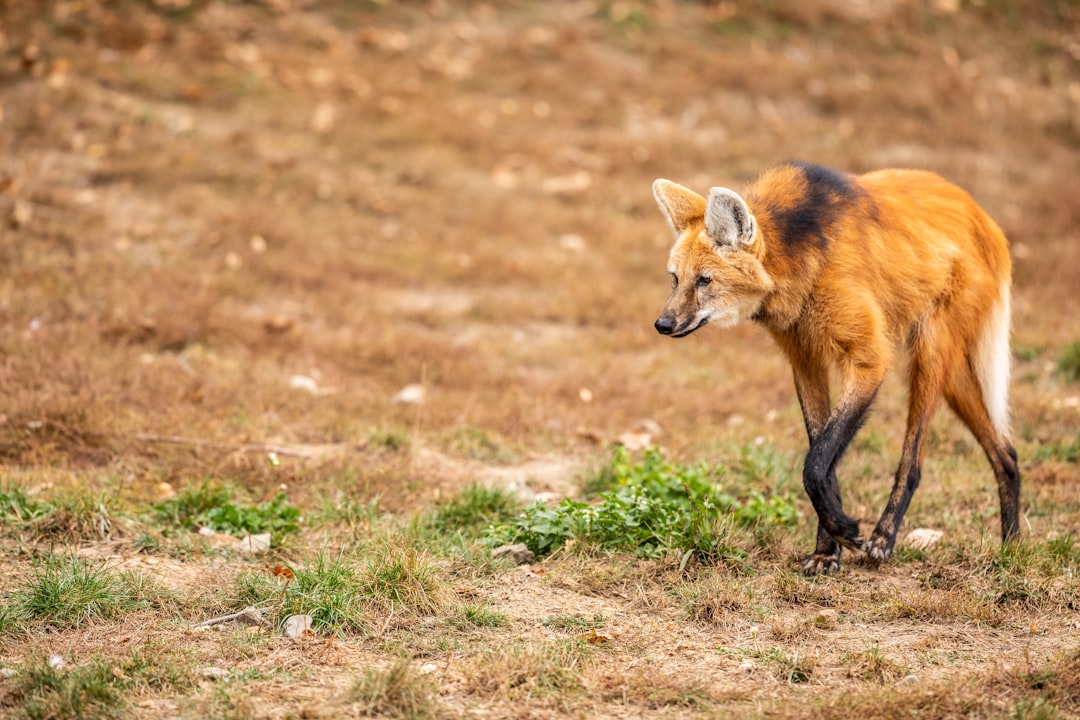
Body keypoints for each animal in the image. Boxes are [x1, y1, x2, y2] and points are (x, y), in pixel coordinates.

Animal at [648, 161, 1019, 574]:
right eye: (676, 279)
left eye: (705, 280)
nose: (662, 325)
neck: (801, 258)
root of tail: (984, 218)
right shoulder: (805, 360)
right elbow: (823, 457)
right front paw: (828, 548)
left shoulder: (870, 359)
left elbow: (815, 462)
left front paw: (848, 532)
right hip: (951, 374)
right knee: (1007, 454)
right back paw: (1011, 547)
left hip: (929, 355)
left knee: (915, 460)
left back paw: (884, 538)